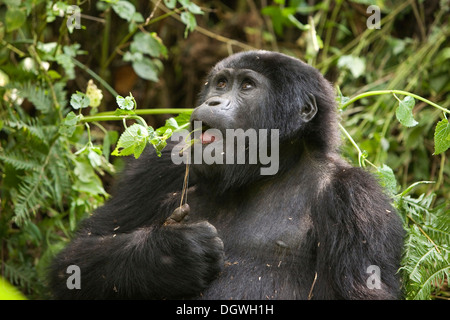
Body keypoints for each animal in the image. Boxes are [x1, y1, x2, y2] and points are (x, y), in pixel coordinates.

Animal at [49, 50, 404, 300]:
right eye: (220, 83)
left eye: (247, 86)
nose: (214, 101)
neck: (271, 170)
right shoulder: (161, 163)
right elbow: (75, 259)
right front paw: (168, 255)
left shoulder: (356, 198)